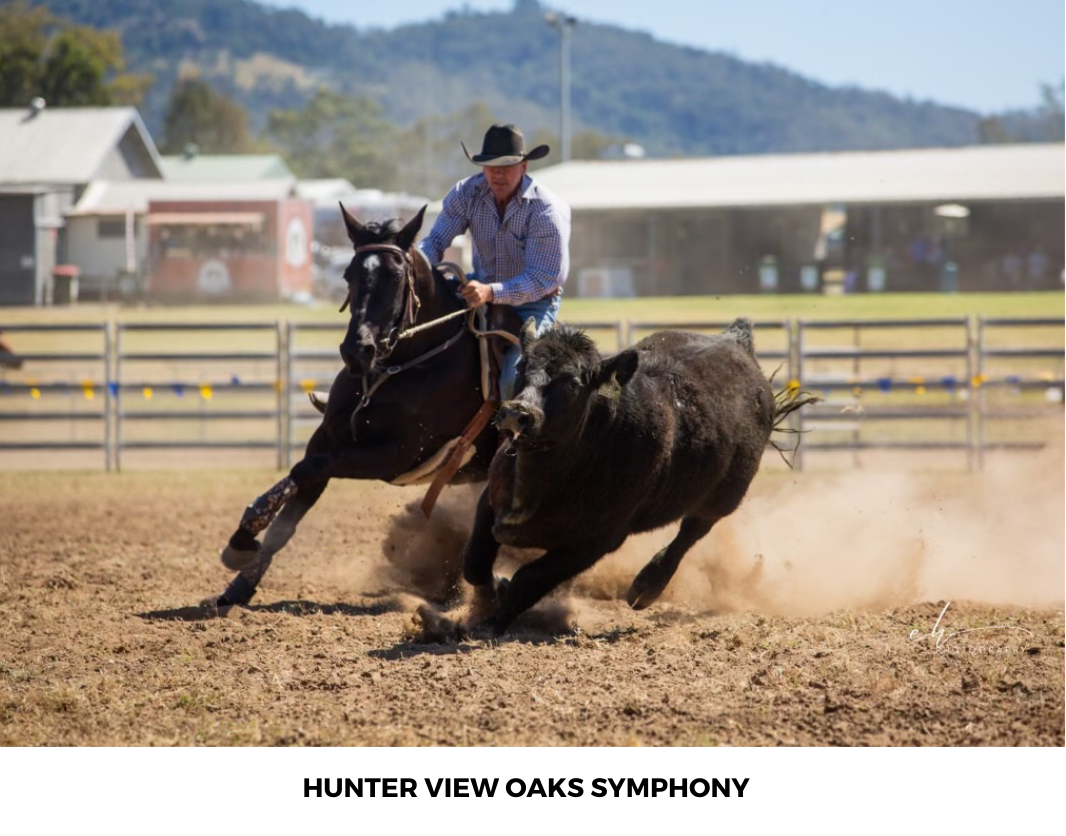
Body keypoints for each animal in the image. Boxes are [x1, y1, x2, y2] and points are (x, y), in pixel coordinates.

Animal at [205, 204, 512, 608]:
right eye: (348, 274)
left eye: (396, 277)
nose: (356, 350)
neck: (398, 367)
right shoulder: (327, 438)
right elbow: (290, 513)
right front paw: (240, 576)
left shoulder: (392, 456)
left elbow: (305, 470)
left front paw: (244, 537)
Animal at [418, 317, 815, 638]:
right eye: (522, 368)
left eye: (572, 383)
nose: (518, 413)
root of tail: (736, 340)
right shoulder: (490, 501)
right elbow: (475, 560)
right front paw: (484, 600)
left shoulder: (597, 542)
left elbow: (528, 580)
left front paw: (491, 621)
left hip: (726, 495)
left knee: (691, 532)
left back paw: (647, 585)